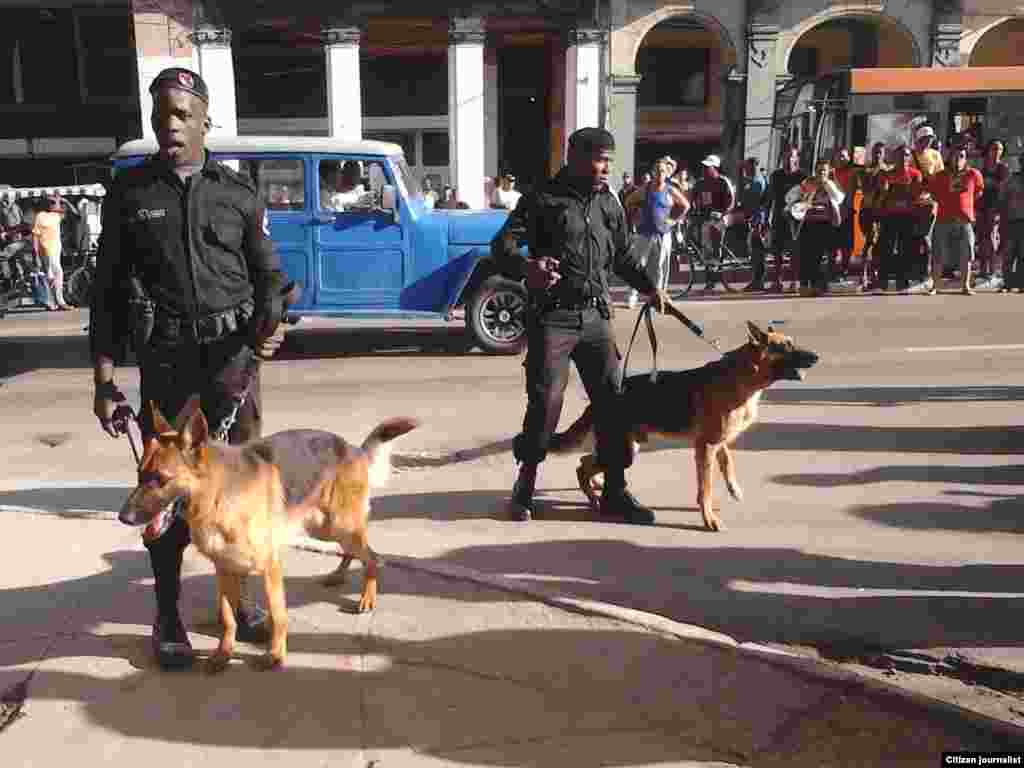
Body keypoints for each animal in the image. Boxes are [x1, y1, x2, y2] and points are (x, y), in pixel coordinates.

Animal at [120, 397, 419, 671]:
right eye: (139, 474)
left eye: (160, 479)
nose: (124, 517)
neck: (217, 495)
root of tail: (354, 449)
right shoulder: (224, 568)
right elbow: (228, 617)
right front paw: (223, 654)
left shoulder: (269, 567)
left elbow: (277, 616)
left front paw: (275, 655)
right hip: (325, 528)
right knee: (354, 551)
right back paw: (338, 575)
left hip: (340, 525)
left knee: (373, 557)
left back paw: (367, 597)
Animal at [548, 321, 819, 532]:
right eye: (785, 346)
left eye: (792, 342)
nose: (817, 357)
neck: (742, 377)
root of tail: (598, 401)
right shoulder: (706, 447)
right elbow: (705, 488)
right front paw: (709, 518)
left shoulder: (718, 442)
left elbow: (728, 463)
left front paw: (733, 489)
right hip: (625, 450)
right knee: (583, 466)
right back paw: (594, 498)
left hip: (628, 447)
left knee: (586, 461)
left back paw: (597, 488)